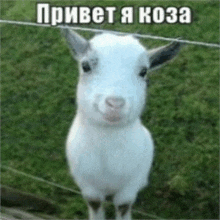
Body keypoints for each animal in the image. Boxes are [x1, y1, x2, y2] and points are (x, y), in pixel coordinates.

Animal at [61, 27, 180, 220]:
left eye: (144, 71)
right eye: (85, 66)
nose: (115, 104)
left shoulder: (129, 187)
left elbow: (123, 206)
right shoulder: (88, 186)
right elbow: (95, 203)